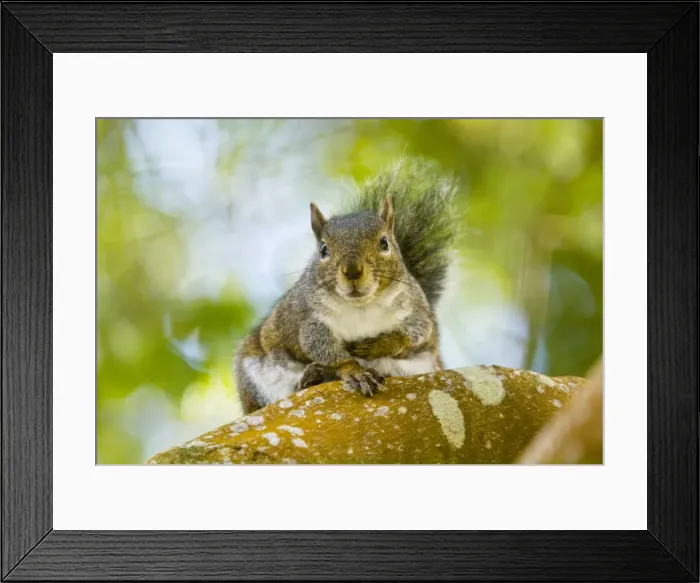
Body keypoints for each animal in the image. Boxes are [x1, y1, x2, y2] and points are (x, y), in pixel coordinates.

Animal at [233, 158, 458, 414]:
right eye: (323, 250)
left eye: (384, 243)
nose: (352, 271)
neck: (361, 307)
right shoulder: (310, 321)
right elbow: (325, 349)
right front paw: (354, 370)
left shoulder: (415, 307)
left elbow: (418, 331)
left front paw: (383, 344)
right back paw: (309, 379)